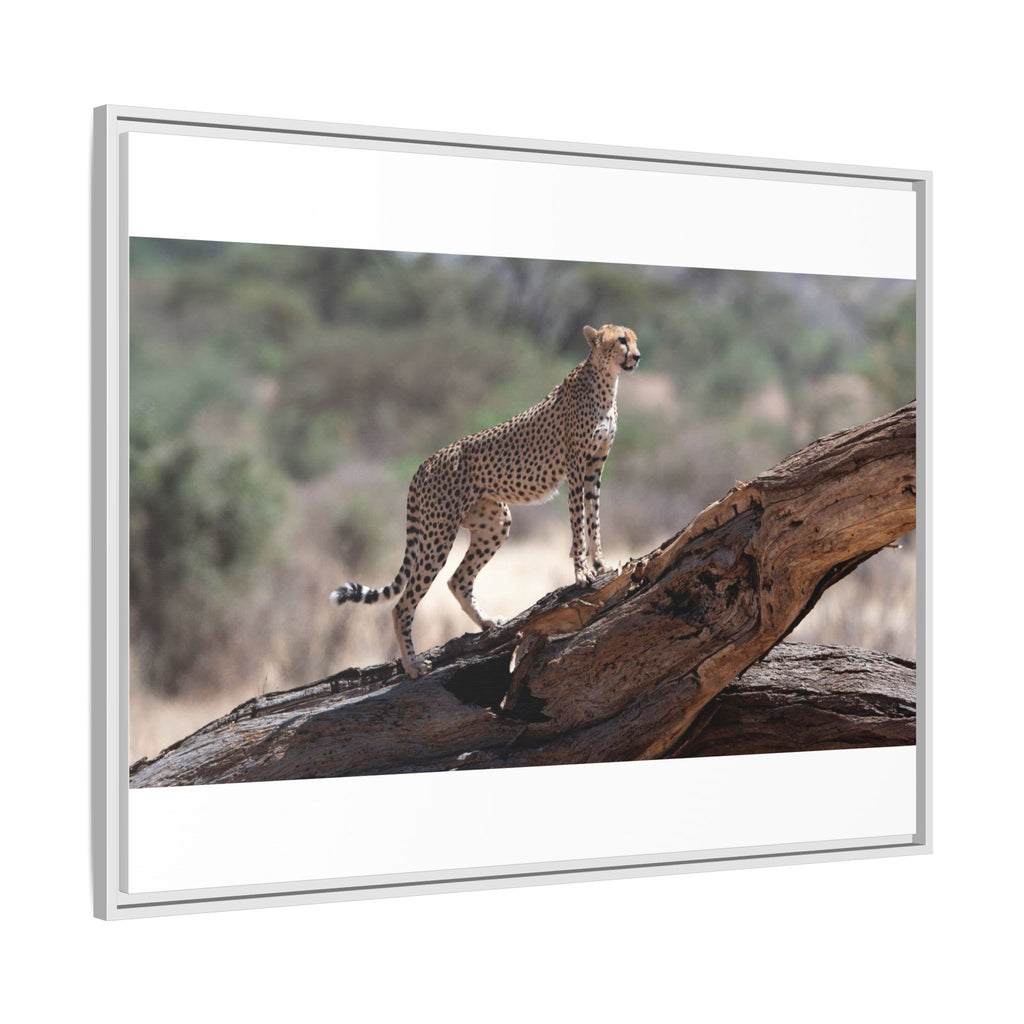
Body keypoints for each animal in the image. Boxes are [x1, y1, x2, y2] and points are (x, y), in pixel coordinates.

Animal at [330, 323, 641, 678]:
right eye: (621, 341)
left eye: (634, 339)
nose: (637, 356)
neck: (606, 380)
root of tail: (425, 463)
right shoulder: (576, 468)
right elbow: (578, 523)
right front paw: (582, 572)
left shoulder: (594, 469)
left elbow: (594, 518)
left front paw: (601, 563)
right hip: (438, 535)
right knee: (403, 603)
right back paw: (412, 664)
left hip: (494, 522)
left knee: (457, 580)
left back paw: (488, 623)